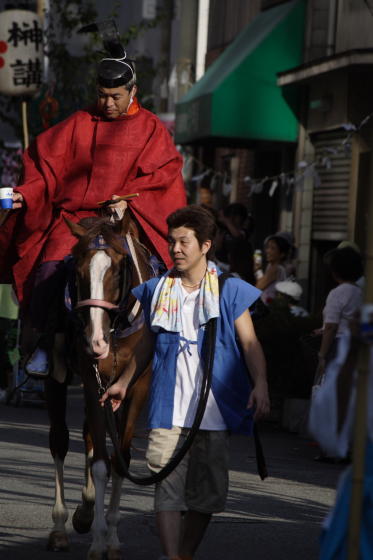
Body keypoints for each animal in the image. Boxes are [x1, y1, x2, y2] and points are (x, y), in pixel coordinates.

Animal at [44, 212, 153, 556]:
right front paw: (99, 540)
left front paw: (113, 538)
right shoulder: (93, 382)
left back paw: (86, 509)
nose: (96, 342)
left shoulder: (138, 387)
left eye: (118, 269)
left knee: (90, 436)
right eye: (78, 272)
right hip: (56, 374)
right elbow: (103, 464)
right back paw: (61, 526)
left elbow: (121, 460)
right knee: (60, 441)